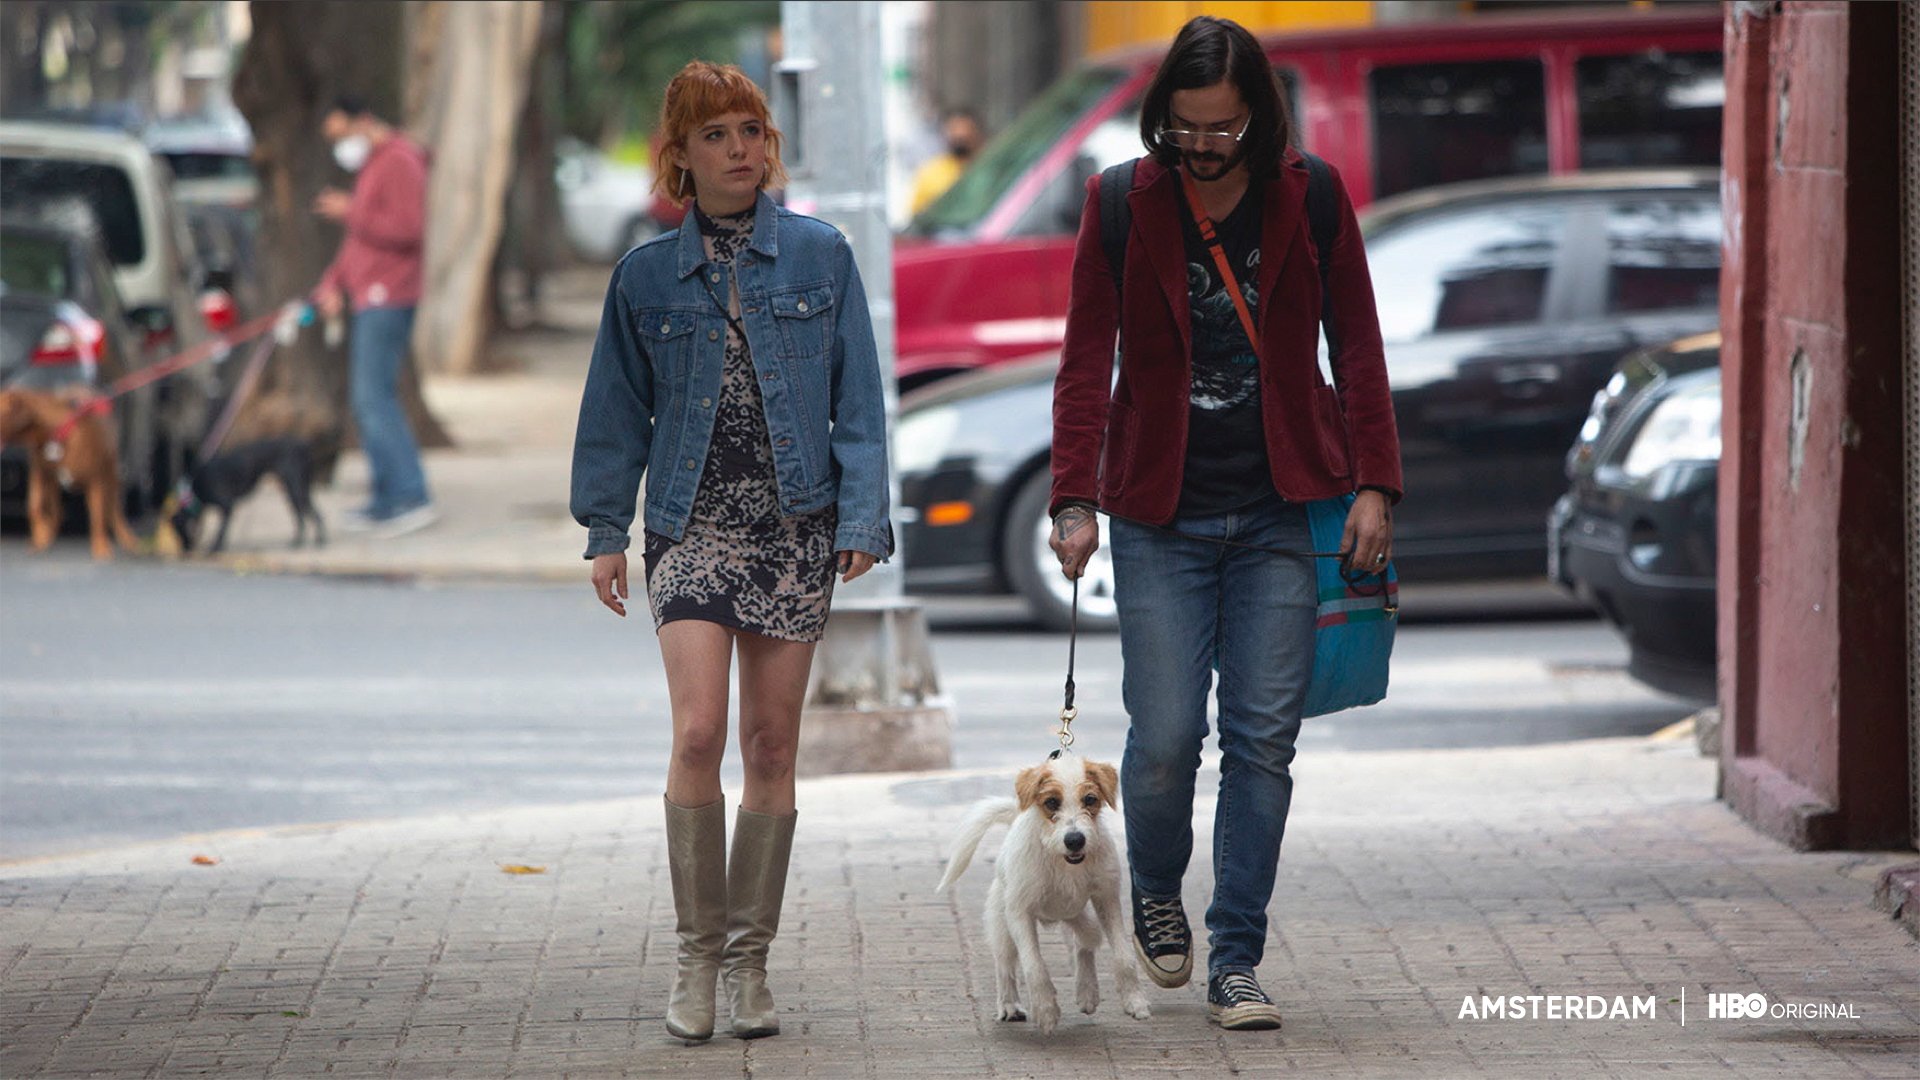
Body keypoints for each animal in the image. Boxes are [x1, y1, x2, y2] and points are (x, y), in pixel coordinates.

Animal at [0, 384, 142, 553]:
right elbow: (34, 506)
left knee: (114, 509)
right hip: (53, 483)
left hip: (111, 474)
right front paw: (41, 535)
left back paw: (127, 538)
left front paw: (101, 548)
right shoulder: (40, 475)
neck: (57, 432)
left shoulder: (96, 481)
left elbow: (98, 516)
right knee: (57, 511)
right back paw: (48, 533)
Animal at [172, 434, 326, 549]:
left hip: (295, 489)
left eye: (180, 529)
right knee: (307, 514)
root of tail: (303, 445)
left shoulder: (227, 505)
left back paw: (307, 541)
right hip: (298, 490)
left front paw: (216, 548)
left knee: (306, 515)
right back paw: (312, 539)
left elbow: (221, 531)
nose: (185, 551)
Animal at [933, 745, 1144, 1030]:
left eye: (1090, 799)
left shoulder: (1106, 898)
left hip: (1076, 912)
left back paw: (1087, 991)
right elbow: (1034, 966)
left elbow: (1124, 956)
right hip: (1002, 925)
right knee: (1005, 966)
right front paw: (1045, 1010)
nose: (1075, 840)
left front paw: (1135, 1001)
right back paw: (1010, 1005)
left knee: (1086, 939)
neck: (1060, 859)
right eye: (1052, 802)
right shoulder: (1019, 913)